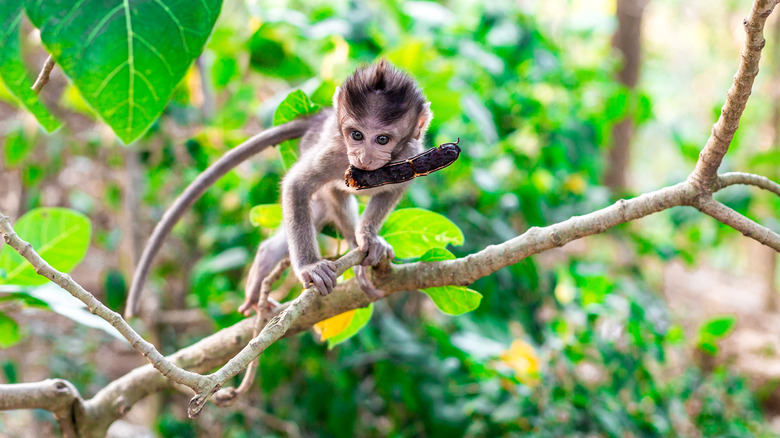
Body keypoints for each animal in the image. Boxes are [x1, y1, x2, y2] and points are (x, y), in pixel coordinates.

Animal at [239, 60, 432, 314]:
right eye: (357, 135)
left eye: (382, 139)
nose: (364, 158)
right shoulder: (335, 153)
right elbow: (296, 185)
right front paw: (311, 266)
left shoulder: (412, 153)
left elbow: (393, 189)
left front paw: (368, 236)